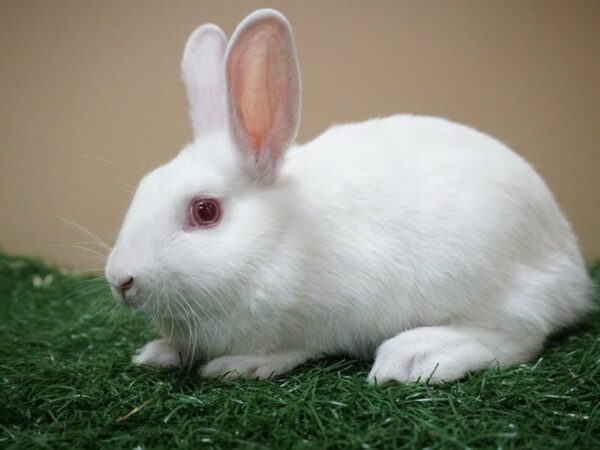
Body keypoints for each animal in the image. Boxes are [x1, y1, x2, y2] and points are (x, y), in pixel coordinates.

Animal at [103, 8, 592, 384]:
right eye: (145, 186)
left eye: (205, 211)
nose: (121, 280)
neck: (278, 238)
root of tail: (570, 269)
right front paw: (155, 353)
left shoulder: (315, 322)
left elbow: (289, 348)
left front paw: (240, 365)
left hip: (483, 280)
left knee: (521, 335)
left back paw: (413, 356)